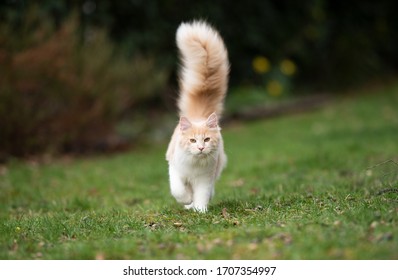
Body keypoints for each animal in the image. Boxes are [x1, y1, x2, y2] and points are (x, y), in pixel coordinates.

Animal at [166, 20, 230, 212]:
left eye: (207, 140)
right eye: (193, 140)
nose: (201, 148)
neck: (195, 164)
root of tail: (199, 115)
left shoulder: (204, 179)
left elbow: (201, 195)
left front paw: (200, 211)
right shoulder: (175, 170)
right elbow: (179, 190)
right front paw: (187, 201)